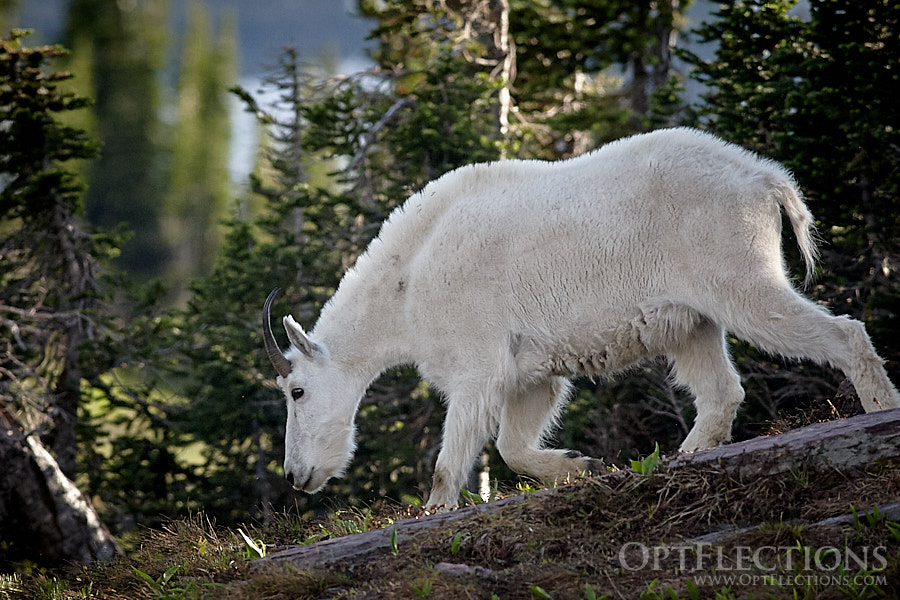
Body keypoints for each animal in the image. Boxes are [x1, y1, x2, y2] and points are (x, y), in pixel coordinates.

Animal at [263, 127, 900, 508]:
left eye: (295, 391)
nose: (296, 476)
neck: (406, 283)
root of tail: (767, 181)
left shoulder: (475, 354)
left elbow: (456, 449)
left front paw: (434, 510)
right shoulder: (529, 369)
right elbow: (515, 441)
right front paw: (583, 466)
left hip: (734, 266)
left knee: (833, 328)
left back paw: (878, 408)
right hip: (690, 315)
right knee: (719, 385)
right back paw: (681, 456)